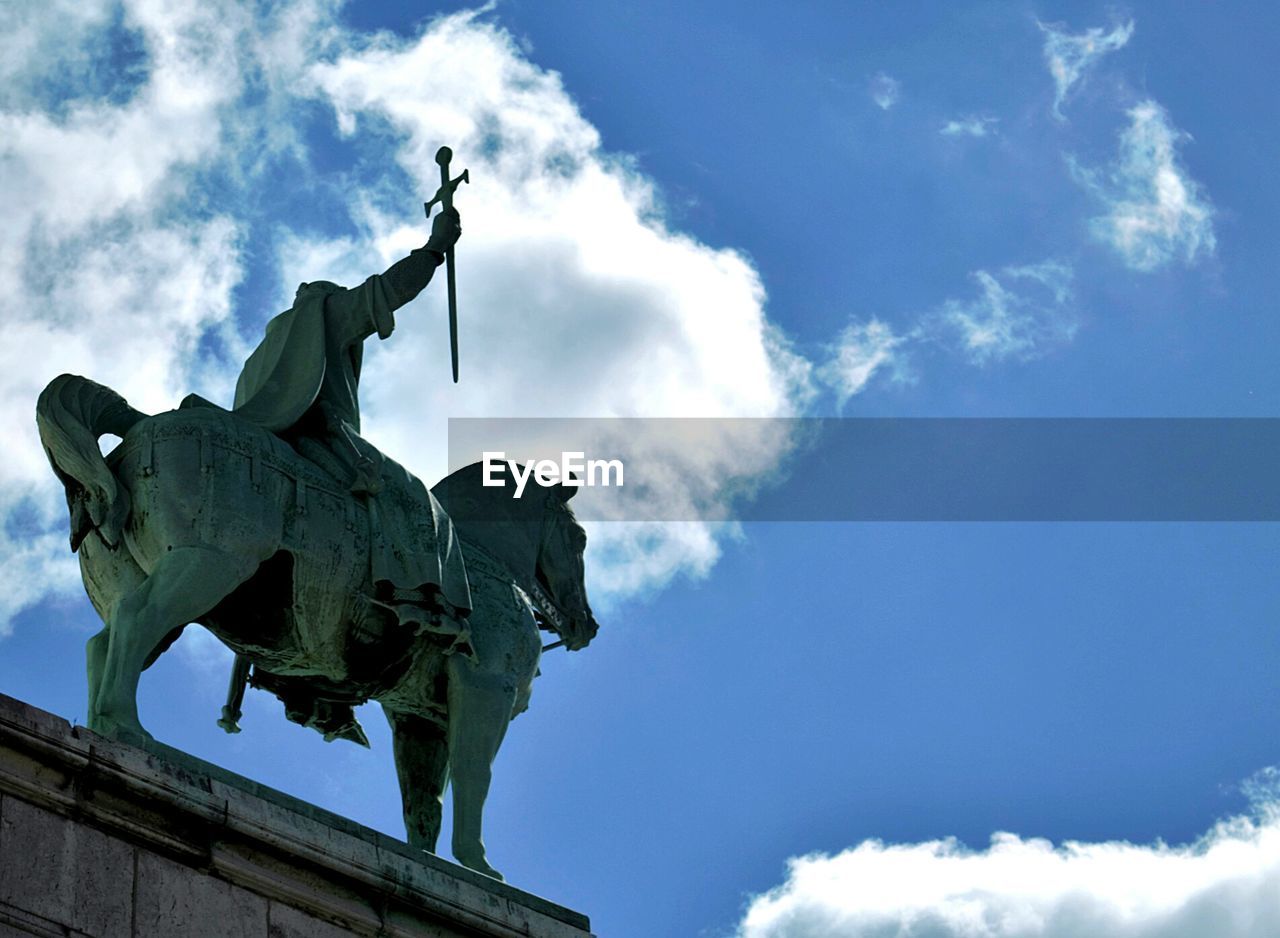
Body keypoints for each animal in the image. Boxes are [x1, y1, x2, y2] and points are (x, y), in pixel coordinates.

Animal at [37, 376, 596, 880]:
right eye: (581, 539)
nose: (584, 626)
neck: (482, 564)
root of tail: (137, 424)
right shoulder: (485, 688)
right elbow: (473, 771)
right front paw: (479, 866)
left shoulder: (417, 714)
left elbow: (423, 800)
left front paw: (431, 864)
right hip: (209, 567)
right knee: (135, 623)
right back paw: (129, 730)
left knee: (104, 642)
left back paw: (104, 728)